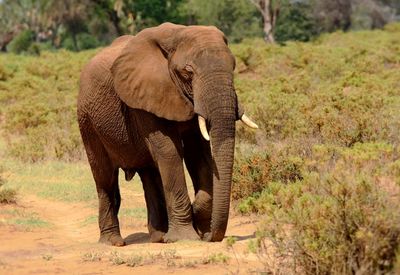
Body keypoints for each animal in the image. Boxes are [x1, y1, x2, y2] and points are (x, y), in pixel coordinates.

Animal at [77, 22, 258, 247]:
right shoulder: (144, 96)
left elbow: (198, 154)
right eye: (188, 72)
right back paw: (114, 242)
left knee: (150, 174)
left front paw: (199, 224)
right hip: (87, 122)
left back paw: (159, 236)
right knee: (105, 178)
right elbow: (170, 152)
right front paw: (185, 237)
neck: (176, 35)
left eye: (233, 67)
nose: (209, 237)